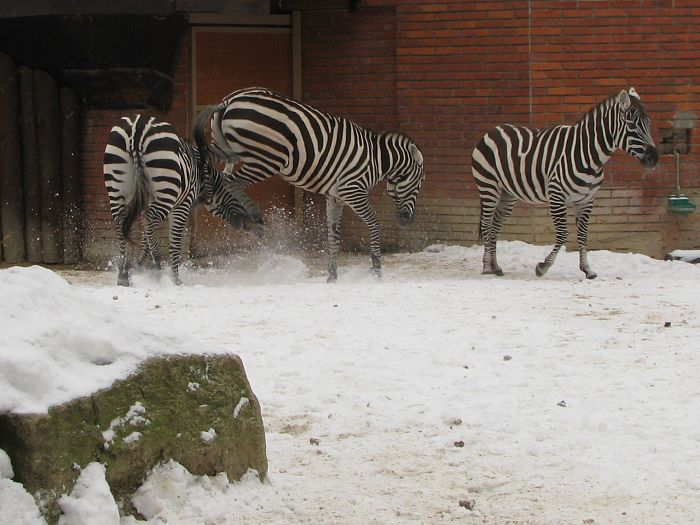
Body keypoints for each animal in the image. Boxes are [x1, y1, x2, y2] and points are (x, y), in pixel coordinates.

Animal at [103, 115, 263, 287]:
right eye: (238, 195)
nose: (254, 226)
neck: (202, 176)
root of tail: (138, 126)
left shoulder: (146, 202)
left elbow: (146, 235)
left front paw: (139, 266)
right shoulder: (182, 204)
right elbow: (174, 242)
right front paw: (175, 280)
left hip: (116, 187)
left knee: (122, 224)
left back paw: (123, 274)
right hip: (165, 187)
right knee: (150, 219)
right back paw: (158, 265)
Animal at [192, 87, 426, 281]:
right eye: (419, 183)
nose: (407, 221)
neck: (376, 160)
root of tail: (228, 100)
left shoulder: (335, 197)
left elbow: (334, 235)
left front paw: (332, 275)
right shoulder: (353, 191)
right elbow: (374, 223)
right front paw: (376, 269)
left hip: (229, 151)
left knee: (216, 180)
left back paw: (240, 216)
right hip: (268, 158)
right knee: (232, 183)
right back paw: (254, 218)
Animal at [471, 88, 658, 279]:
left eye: (648, 123)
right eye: (632, 125)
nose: (654, 158)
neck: (588, 154)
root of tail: (493, 130)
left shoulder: (587, 199)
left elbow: (583, 235)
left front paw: (587, 270)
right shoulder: (557, 195)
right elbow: (562, 234)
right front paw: (543, 267)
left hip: (507, 194)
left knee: (495, 226)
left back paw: (495, 266)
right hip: (488, 187)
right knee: (486, 224)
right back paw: (486, 267)